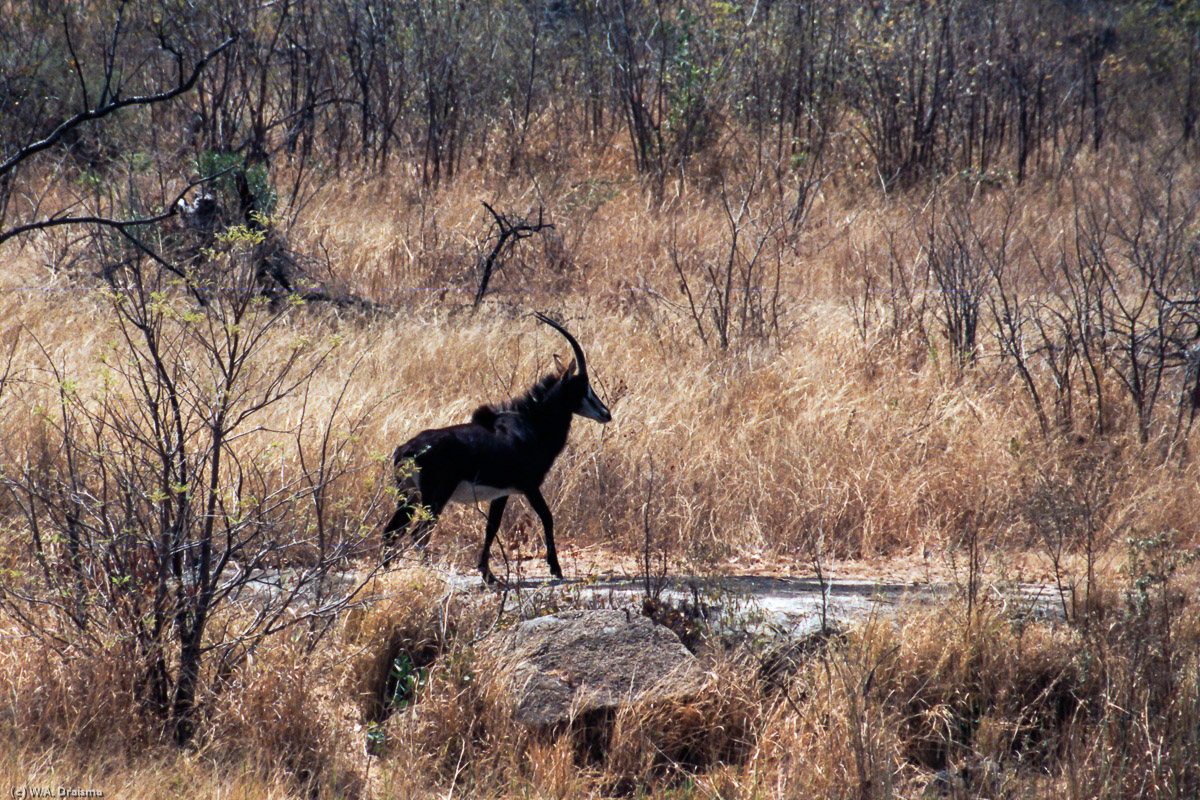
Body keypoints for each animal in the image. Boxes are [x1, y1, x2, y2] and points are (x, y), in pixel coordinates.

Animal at [381, 311, 609, 582]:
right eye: (581, 388)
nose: (606, 413)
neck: (531, 424)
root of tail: (405, 450)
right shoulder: (529, 486)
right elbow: (547, 517)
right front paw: (556, 569)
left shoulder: (502, 493)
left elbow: (492, 527)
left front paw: (487, 573)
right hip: (434, 497)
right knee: (419, 535)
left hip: (408, 497)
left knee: (391, 532)